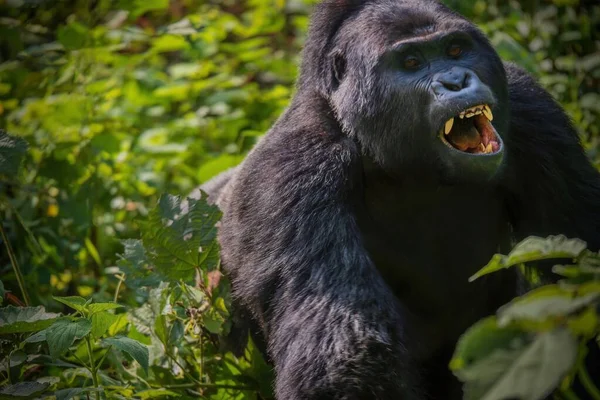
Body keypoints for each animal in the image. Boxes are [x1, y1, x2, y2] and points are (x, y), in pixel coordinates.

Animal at [200, 0, 600, 398]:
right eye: (410, 62)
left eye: (456, 50)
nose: (456, 81)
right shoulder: (292, 171)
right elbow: (345, 359)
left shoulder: (531, 107)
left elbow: (582, 257)